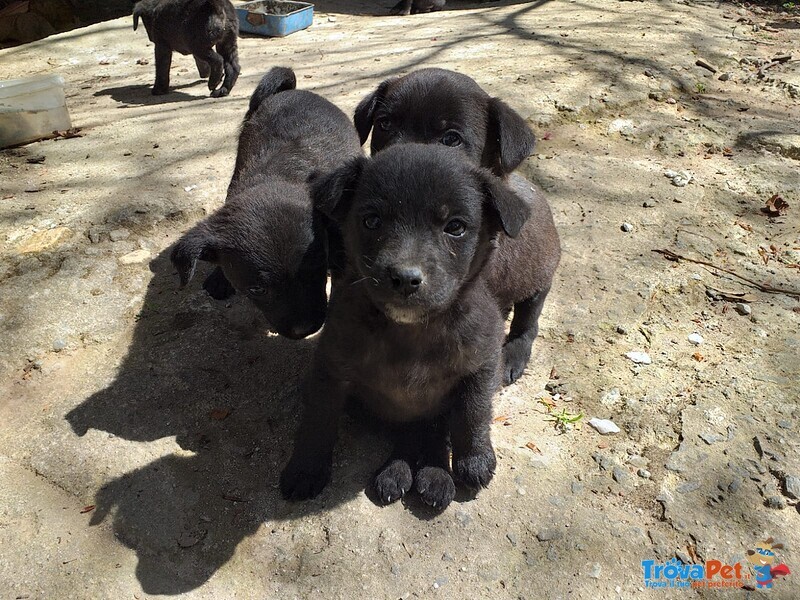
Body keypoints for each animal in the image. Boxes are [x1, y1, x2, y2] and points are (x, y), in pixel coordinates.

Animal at [175, 68, 366, 340]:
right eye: (257, 290)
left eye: (316, 269)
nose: (303, 330)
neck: (280, 174)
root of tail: (291, 91)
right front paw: (221, 277)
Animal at [282, 143, 532, 508]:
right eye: (372, 221)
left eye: (455, 227)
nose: (405, 278)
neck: (412, 333)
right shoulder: (331, 367)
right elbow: (318, 419)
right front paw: (305, 468)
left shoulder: (482, 360)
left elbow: (473, 412)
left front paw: (475, 460)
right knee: (409, 435)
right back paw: (398, 472)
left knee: (432, 432)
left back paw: (433, 474)